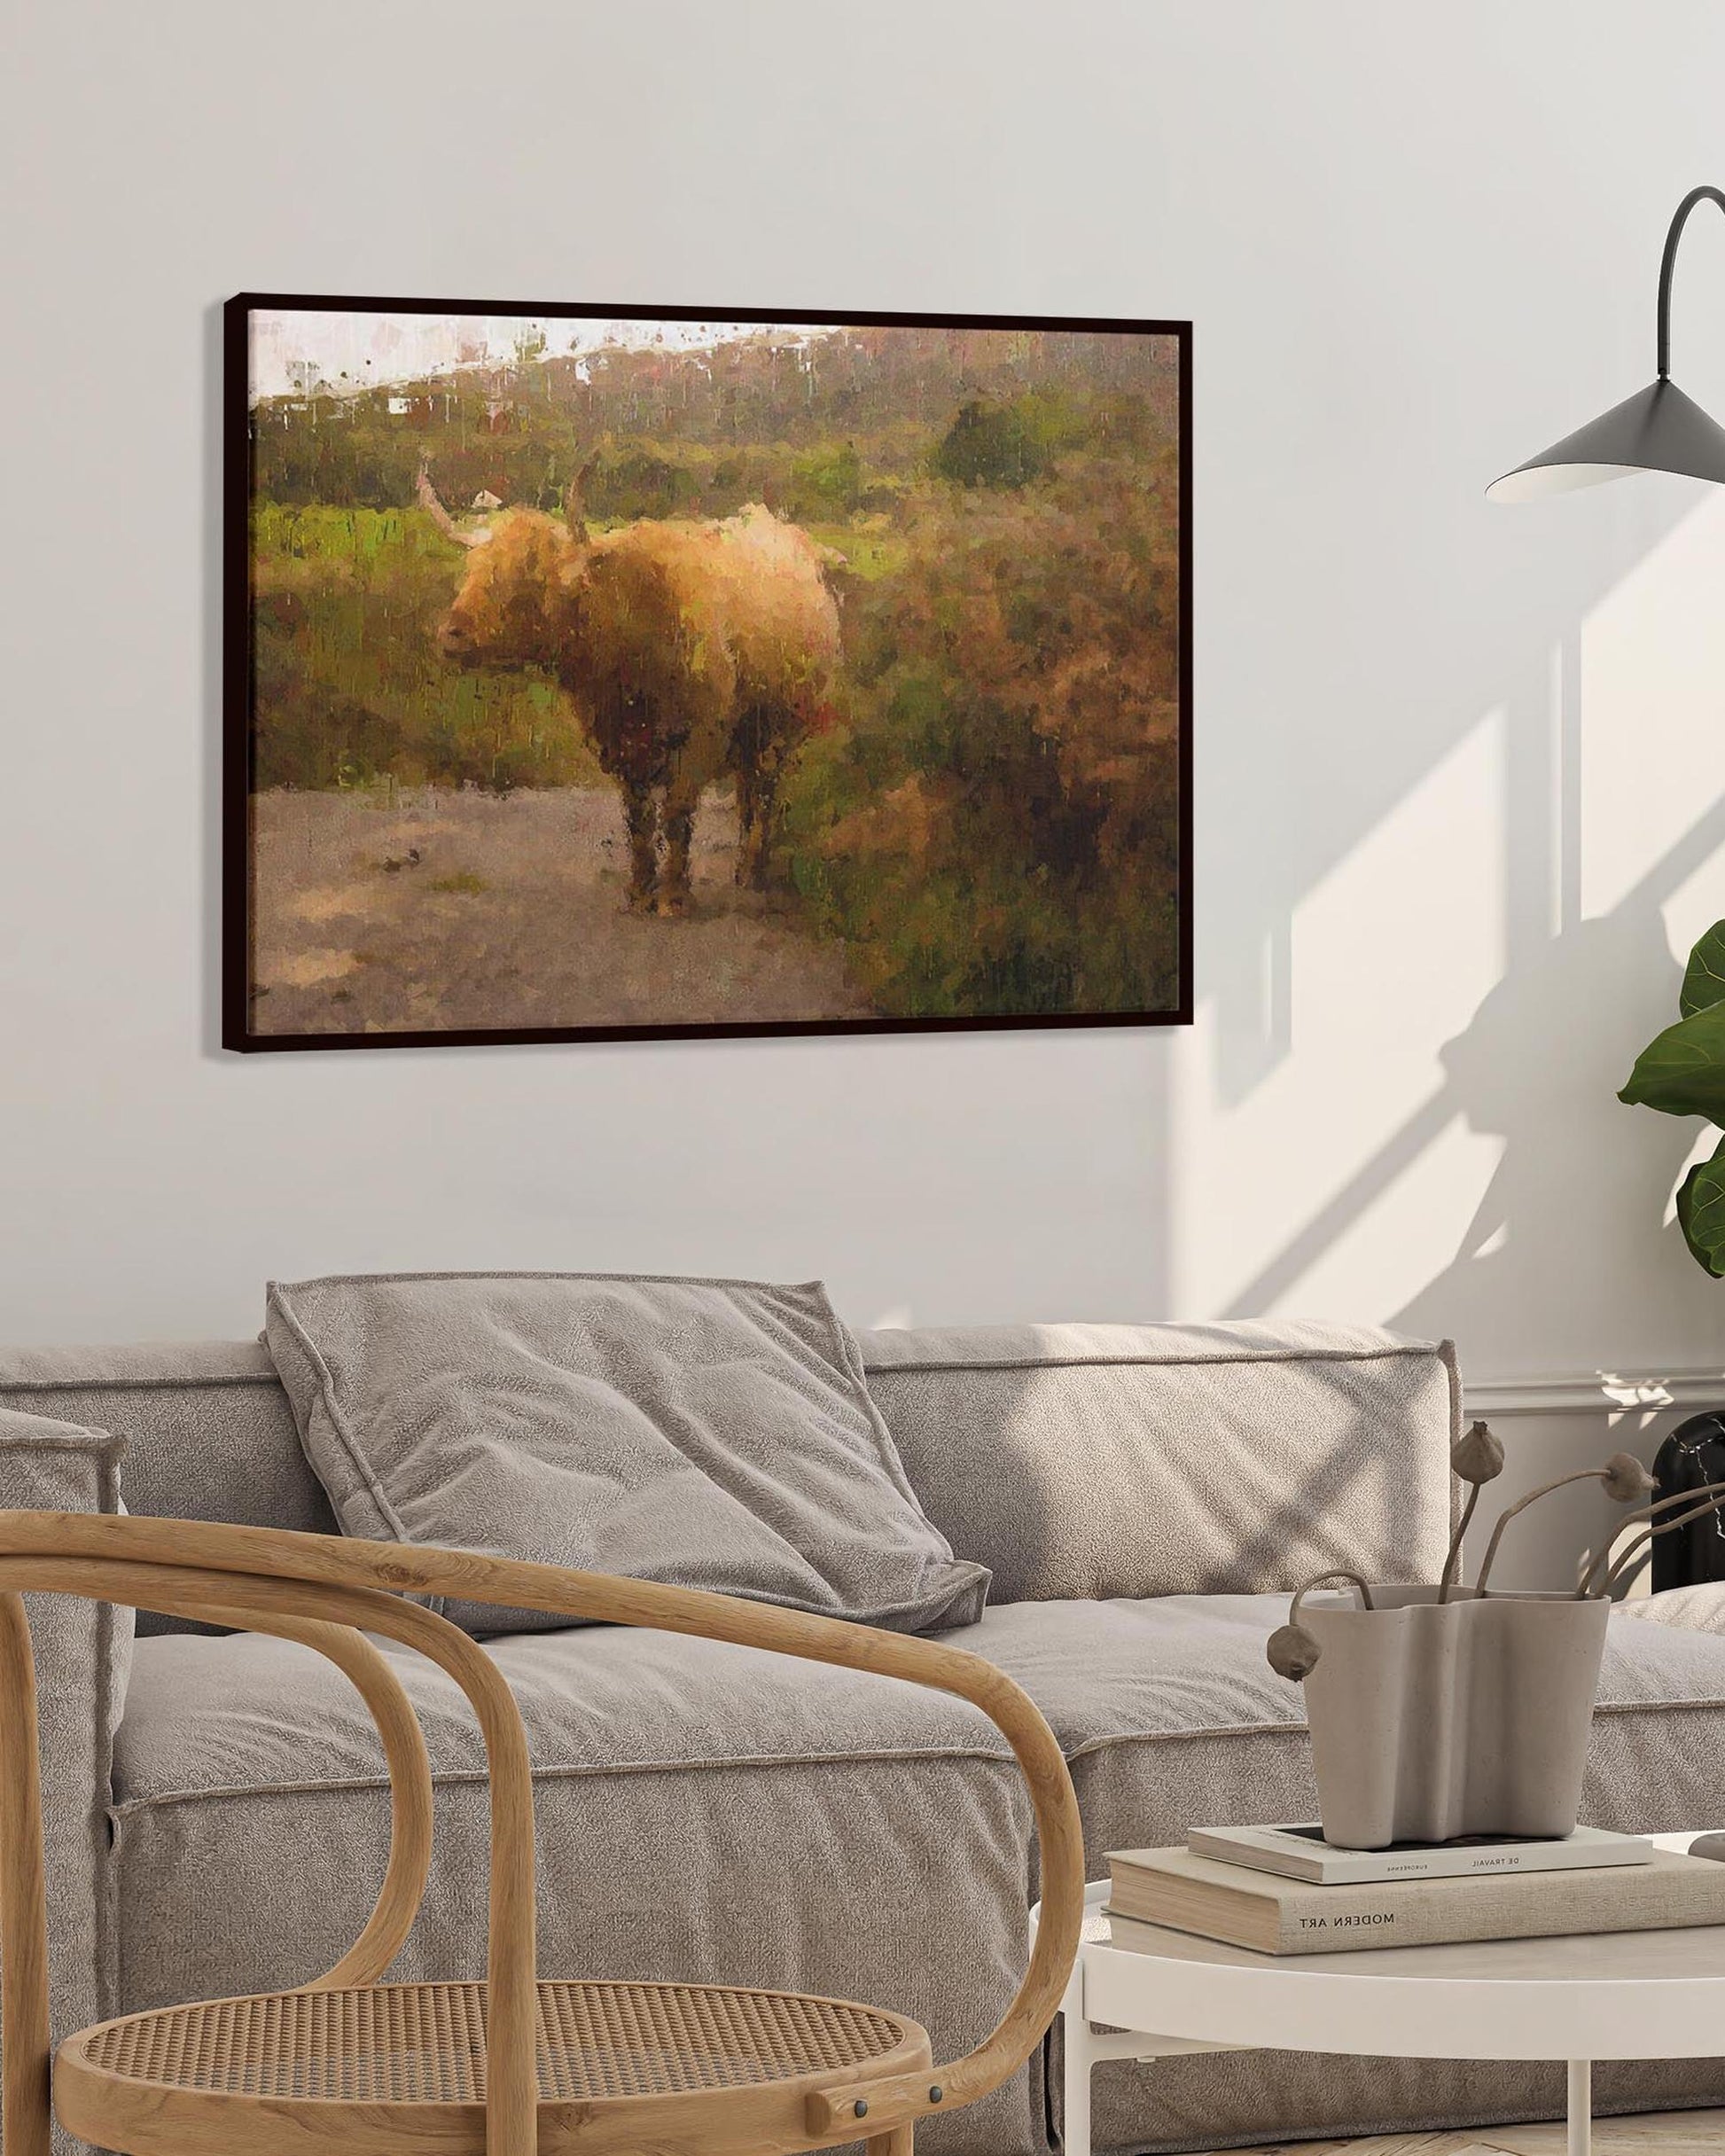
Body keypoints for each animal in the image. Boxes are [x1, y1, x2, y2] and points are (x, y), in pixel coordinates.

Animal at [416, 465, 843, 915]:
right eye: (473, 568)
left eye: (530, 577)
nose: (452, 633)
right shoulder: (617, 743)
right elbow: (639, 817)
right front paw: (640, 892)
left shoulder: (700, 739)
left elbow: (676, 812)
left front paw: (674, 897)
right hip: (751, 731)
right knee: (748, 789)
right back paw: (744, 869)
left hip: (784, 731)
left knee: (764, 791)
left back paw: (753, 872)